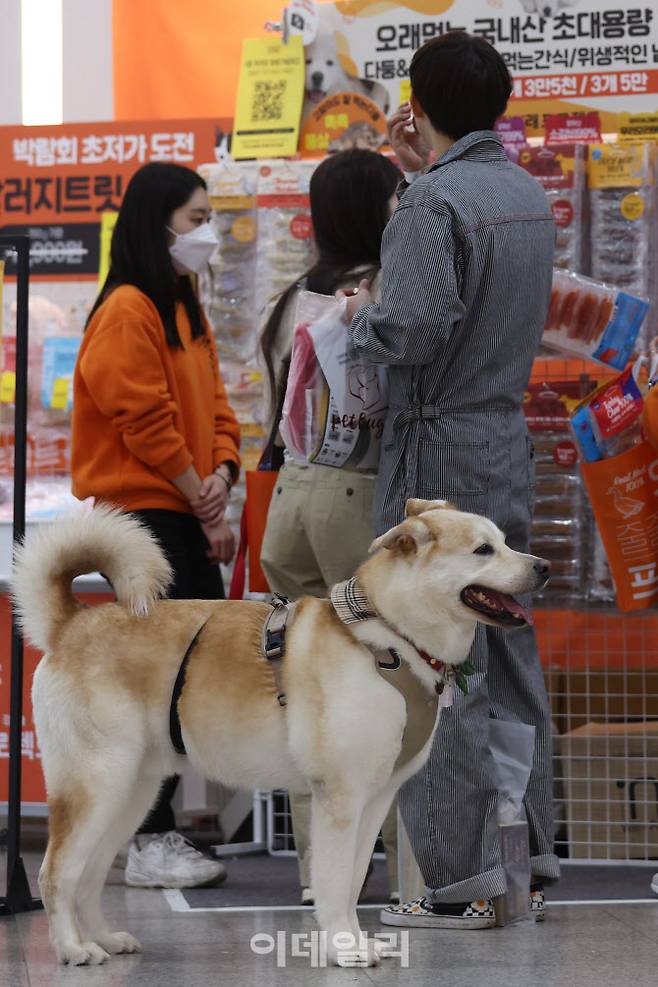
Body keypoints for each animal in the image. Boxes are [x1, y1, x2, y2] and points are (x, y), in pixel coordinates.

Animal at [15, 498, 548, 968]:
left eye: (505, 542)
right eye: (483, 550)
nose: (542, 566)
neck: (390, 639)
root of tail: (72, 623)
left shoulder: (375, 801)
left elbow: (352, 881)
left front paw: (356, 942)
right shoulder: (339, 801)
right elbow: (333, 884)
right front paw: (342, 950)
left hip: (132, 794)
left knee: (89, 875)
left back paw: (104, 938)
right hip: (97, 785)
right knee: (56, 873)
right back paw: (73, 948)